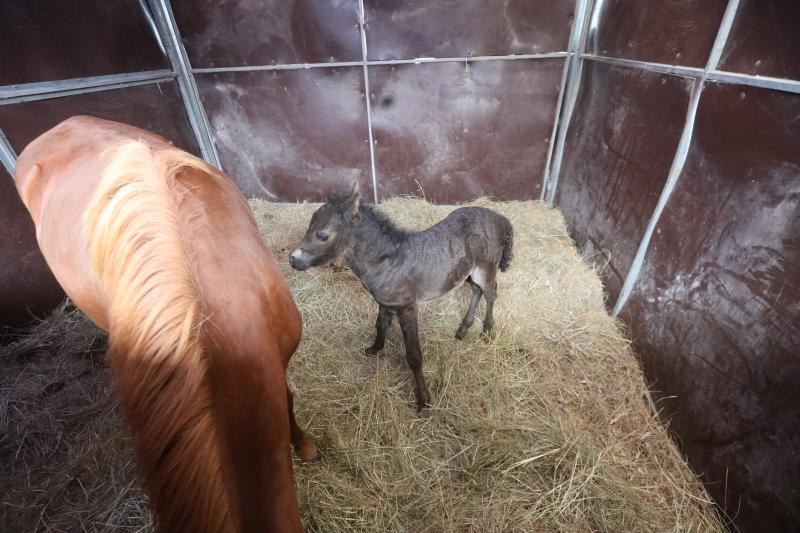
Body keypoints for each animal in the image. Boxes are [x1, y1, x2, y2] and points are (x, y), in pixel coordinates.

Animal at [288, 188, 512, 412]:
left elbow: (413, 355)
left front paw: (423, 401)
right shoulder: (385, 302)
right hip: (469, 273)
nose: (293, 259)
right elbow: (380, 325)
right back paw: (462, 330)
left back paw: (487, 331)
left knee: (491, 292)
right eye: (309, 227)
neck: (389, 261)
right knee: (477, 290)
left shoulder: (407, 307)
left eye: (323, 235)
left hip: (485, 268)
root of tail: (499, 218)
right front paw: (374, 349)